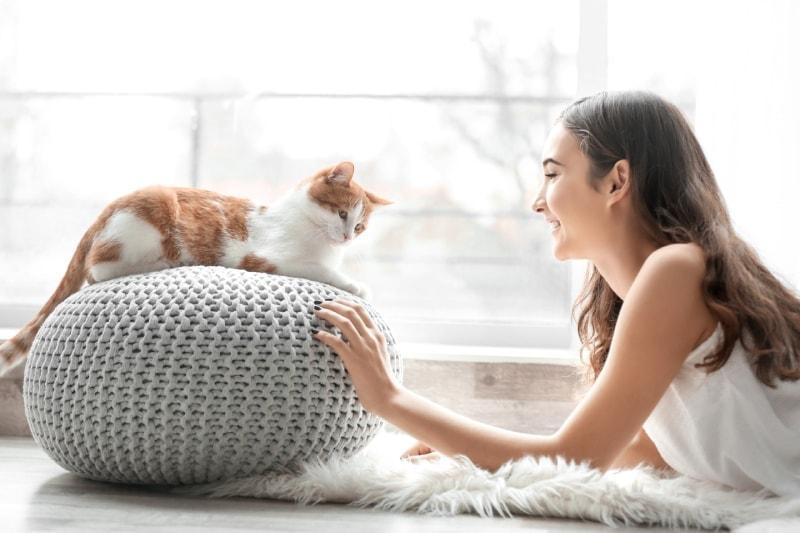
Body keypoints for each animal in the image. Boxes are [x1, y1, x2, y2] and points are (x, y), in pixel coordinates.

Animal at [0, 162, 390, 374]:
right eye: (342, 213)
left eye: (360, 227)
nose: (346, 236)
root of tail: (105, 211)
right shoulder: (270, 258)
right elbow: (318, 269)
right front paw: (357, 286)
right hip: (151, 214)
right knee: (98, 267)